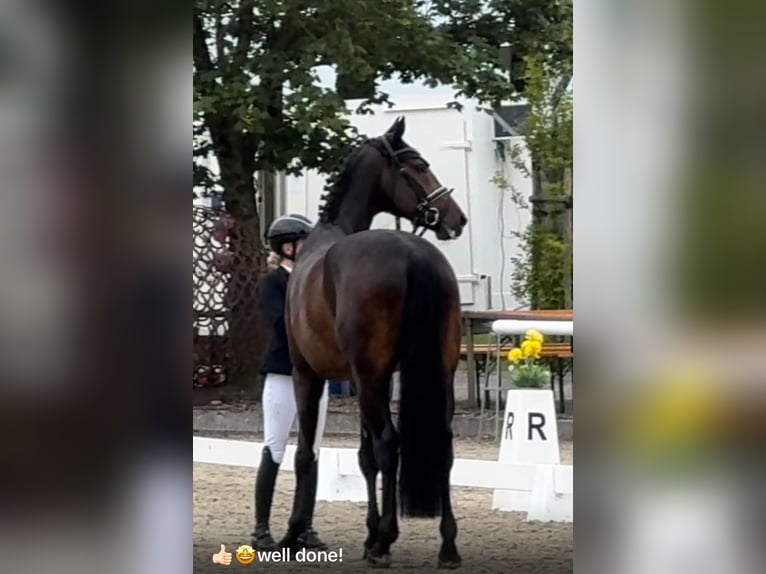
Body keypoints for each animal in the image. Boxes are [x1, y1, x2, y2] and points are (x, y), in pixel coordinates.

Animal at [280, 118, 468, 572]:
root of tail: (413, 251)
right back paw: (447, 546)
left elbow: (307, 452)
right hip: (433, 375)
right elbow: (364, 460)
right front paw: (367, 534)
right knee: (441, 444)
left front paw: (294, 532)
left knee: (389, 445)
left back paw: (386, 540)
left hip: (369, 378)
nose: (457, 218)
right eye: (418, 166)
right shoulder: (360, 379)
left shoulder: (307, 374)